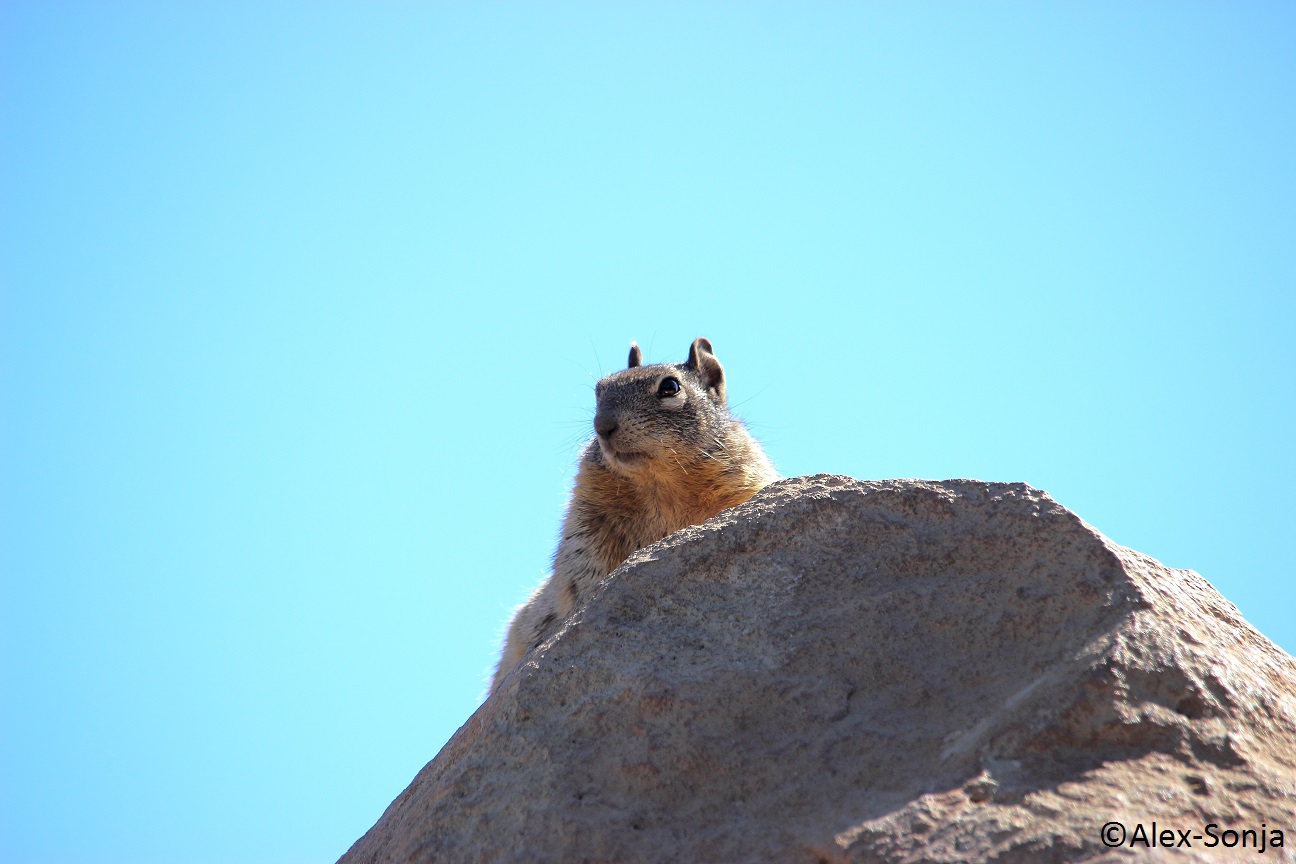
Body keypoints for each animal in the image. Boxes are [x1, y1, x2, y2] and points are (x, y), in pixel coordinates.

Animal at [489, 334, 772, 694]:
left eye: (670, 387)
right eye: (599, 389)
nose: (602, 426)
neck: (660, 482)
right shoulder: (588, 523)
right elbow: (584, 568)